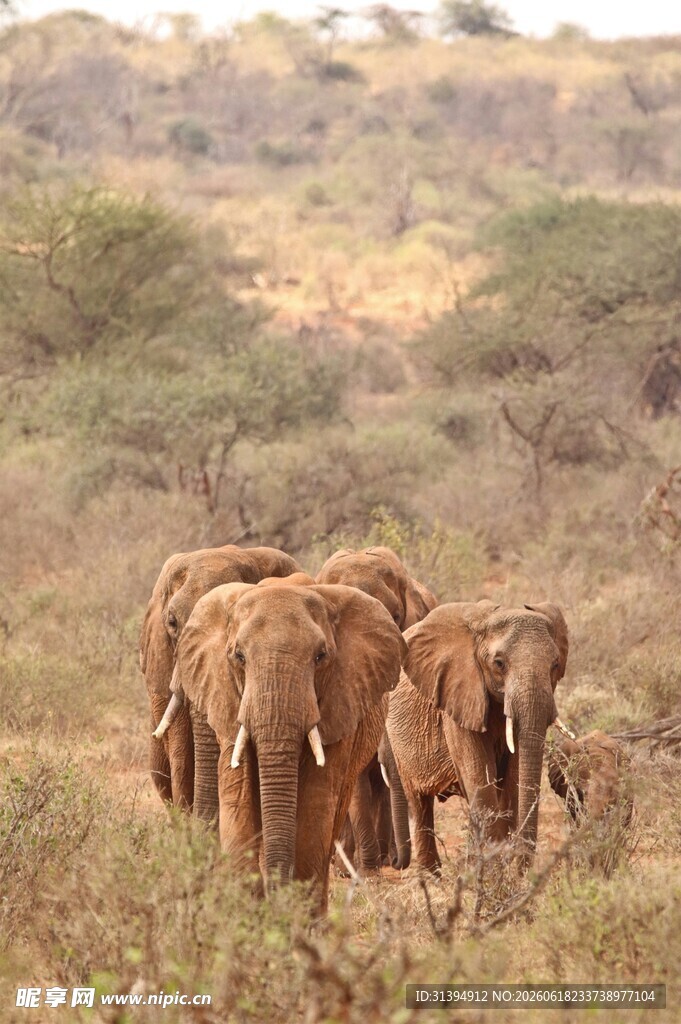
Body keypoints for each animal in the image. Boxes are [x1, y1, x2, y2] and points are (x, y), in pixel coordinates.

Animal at [165, 578, 406, 911]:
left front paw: (294, 912)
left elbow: (315, 804)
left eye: (321, 657)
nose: (275, 895)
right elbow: (238, 796)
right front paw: (251, 913)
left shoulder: (339, 703)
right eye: (239, 657)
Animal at [387, 599, 571, 868]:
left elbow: (513, 779)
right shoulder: (457, 697)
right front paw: (495, 868)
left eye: (555, 664)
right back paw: (432, 874)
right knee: (419, 803)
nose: (521, 864)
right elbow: (480, 780)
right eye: (499, 663)